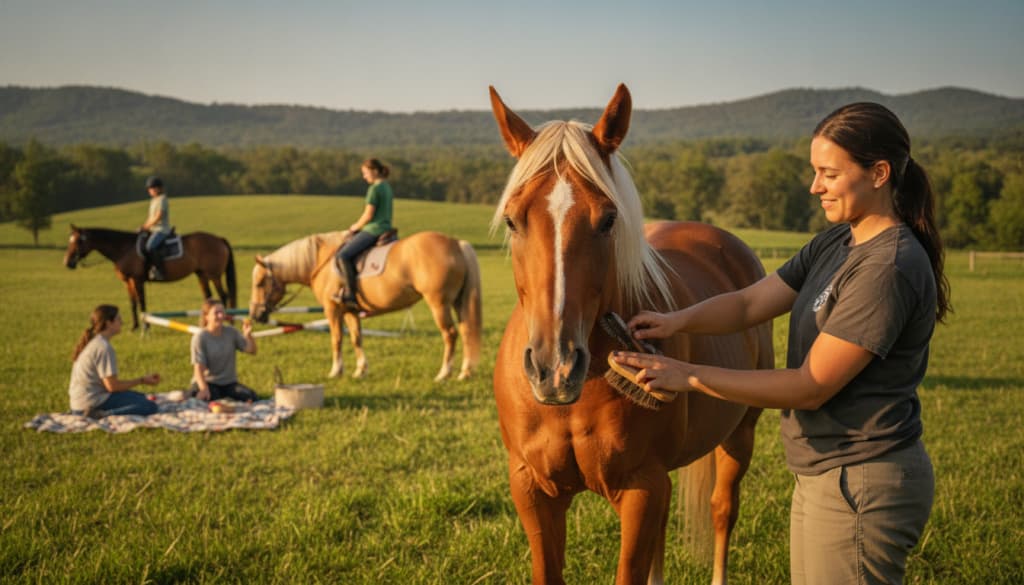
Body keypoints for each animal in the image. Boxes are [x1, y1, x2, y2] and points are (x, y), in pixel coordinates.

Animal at [63, 225, 237, 330]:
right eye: (70, 240)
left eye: (79, 241)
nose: (67, 262)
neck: (124, 248)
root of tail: (219, 239)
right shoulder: (128, 282)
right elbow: (133, 303)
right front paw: (134, 326)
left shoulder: (137, 280)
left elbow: (141, 301)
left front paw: (145, 325)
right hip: (202, 275)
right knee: (208, 296)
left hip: (214, 275)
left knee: (223, 295)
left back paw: (227, 320)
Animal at [248, 230, 482, 380]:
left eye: (259, 283)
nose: (256, 314)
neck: (320, 261)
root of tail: (456, 244)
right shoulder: (350, 311)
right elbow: (356, 339)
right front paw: (360, 371)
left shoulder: (332, 310)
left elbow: (336, 339)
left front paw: (336, 371)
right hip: (458, 302)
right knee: (466, 331)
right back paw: (465, 372)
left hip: (439, 304)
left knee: (450, 334)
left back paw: (444, 373)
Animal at [489, 84, 772, 585]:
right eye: (511, 219)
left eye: (607, 219)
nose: (555, 369)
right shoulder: (533, 490)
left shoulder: (641, 488)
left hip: (740, 435)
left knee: (723, 510)